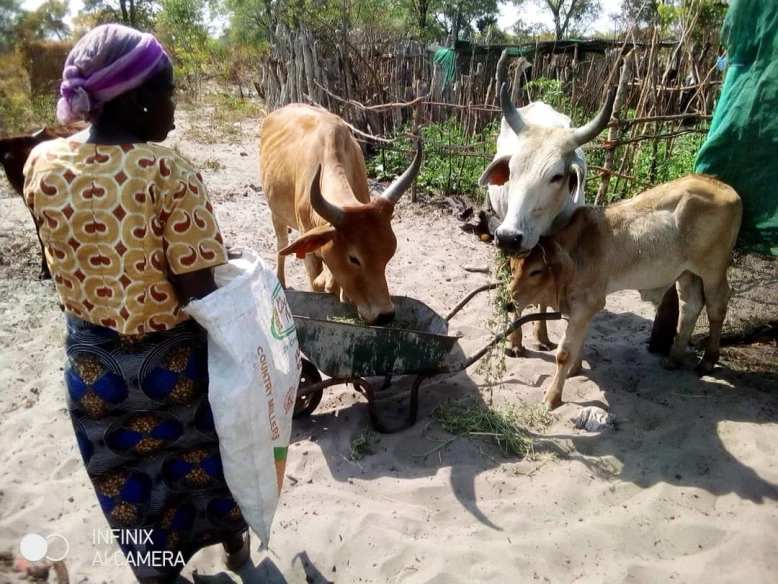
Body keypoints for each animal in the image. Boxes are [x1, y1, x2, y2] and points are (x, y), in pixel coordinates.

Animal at [260, 103, 418, 326]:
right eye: (354, 258)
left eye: (389, 253)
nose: (385, 315)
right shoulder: (309, 251)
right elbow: (315, 284)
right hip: (276, 213)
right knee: (281, 243)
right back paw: (280, 280)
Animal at [510, 176, 740, 408]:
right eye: (512, 267)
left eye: (536, 271)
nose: (510, 302)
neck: (575, 253)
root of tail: (723, 186)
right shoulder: (580, 309)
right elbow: (579, 342)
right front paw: (575, 370)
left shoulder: (586, 304)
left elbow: (564, 353)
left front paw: (552, 397)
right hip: (687, 272)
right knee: (690, 306)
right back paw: (672, 358)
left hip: (712, 269)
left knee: (717, 304)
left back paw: (707, 361)